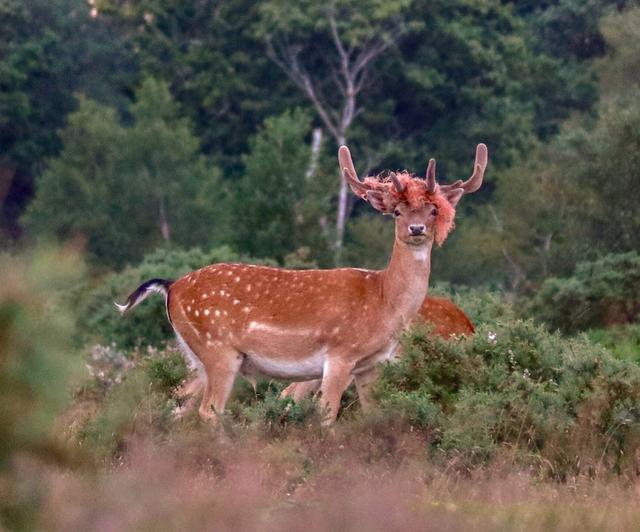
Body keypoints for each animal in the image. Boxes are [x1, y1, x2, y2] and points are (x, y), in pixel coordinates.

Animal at [115, 144, 488, 424]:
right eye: (396, 212)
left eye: (434, 210)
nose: (416, 229)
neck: (383, 300)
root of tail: (171, 285)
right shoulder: (340, 354)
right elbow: (326, 415)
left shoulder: (370, 366)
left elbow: (373, 415)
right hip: (218, 349)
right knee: (209, 411)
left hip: (195, 355)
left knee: (177, 403)